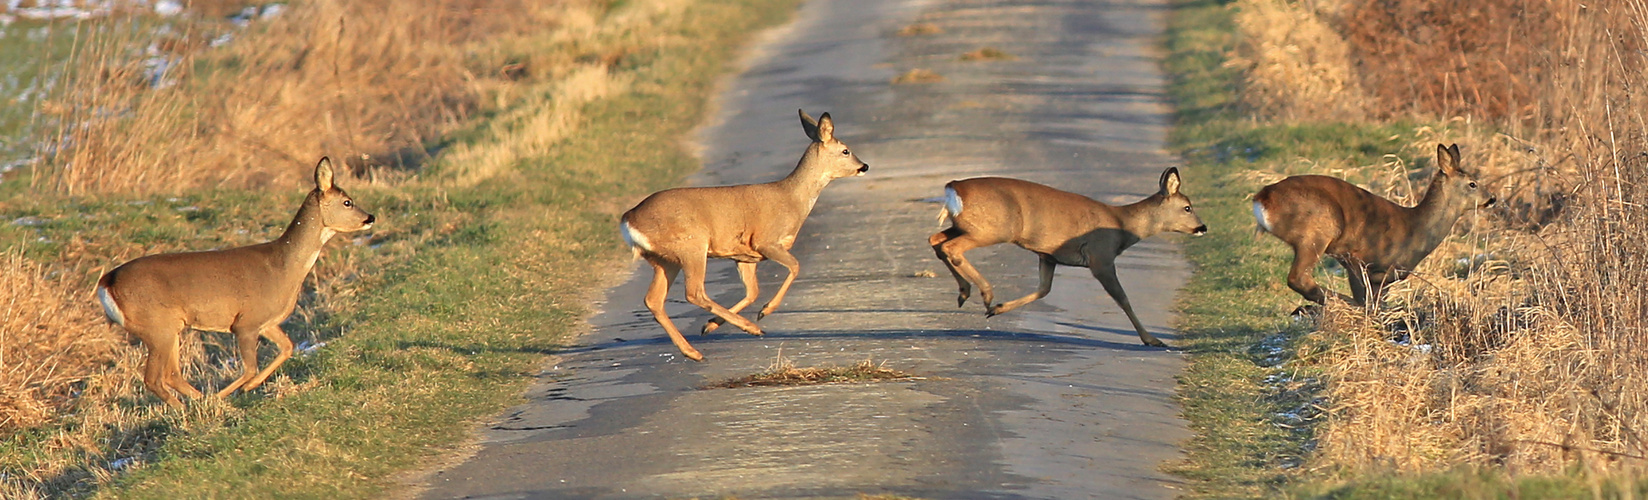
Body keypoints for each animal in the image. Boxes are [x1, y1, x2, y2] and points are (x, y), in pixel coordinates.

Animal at [98, 158, 377, 409]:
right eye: (348, 201)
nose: (370, 217)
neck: (282, 268)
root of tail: (106, 282)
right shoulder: (245, 323)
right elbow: (250, 368)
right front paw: (233, 392)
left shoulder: (267, 322)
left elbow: (287, 347)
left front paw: (244, 390)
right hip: (157, 326)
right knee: (154, 378)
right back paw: (194, 408)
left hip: (169, 329)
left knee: (171, 374)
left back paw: (200, 401)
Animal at [619, 108, 870, 359]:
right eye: (845, 150)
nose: (864, 166)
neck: (792, 199)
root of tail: (628, 219)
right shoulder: (766, 241)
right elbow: (795, 266)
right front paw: (765, 311)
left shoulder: (744, 256)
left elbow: (753, 292)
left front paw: (710, 325)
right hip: (691, 246)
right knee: (694, 292)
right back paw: (750, 328)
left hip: (665, 259)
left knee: (654, 300)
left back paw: (693, 351)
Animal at [929, 168, 1212, 348]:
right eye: (1187, 207)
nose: (1203, 227)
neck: (1122, 225)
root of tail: (954, 187)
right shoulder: (1101, 257)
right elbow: (1123, 299)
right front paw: (1151, 339)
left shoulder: (1048, 255)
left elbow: (1043, 289)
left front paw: (998, 309)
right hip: (994, 229)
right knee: (952, 247)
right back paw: (985, 292)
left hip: (967, 226)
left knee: (936, 240)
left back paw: (966, 293)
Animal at [1252, 142, 1502, 311]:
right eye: (1472, 183)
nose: (1492, 198)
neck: (1415, 230)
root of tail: (1262, 198)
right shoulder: (1358, 258)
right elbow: (1367, 301)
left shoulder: (1380, 276)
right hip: (1318, 229)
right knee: (1298, 278)